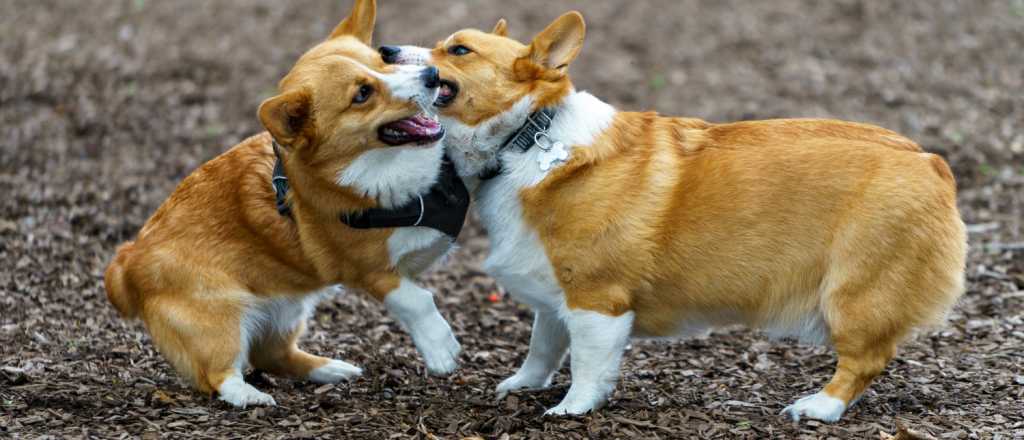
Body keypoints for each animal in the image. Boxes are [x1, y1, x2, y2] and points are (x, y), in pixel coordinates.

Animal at [100, 0, 464, 407]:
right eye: (362, 94)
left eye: (382, 60)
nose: (432, 75)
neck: (381, 168)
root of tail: (127, 261)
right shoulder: (371, 271)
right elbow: (417, 300)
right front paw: (441, 350)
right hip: (221, 318)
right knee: (219, 374)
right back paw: (251, 397)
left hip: (288, 308)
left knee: (273, 354)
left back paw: (330, 370)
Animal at [385, 12, 966, 421]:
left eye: (458, 49)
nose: (386, 49)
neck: (527, 136)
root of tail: (930, 161)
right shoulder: (554, 291)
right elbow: (543, 345)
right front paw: (522, 385)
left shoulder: (597, 300)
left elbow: (588, 365)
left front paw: (570, 409)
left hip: (852, 292)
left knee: (865, 359)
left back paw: (818, 407)